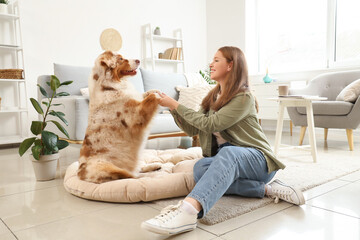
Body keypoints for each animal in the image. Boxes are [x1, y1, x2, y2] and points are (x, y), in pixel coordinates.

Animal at [78, 51, 160, 184]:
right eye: (121, 59)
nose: (138, 60)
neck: (109, 86)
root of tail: (80, 174)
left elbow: (145, 94)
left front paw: (156, 90)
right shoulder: (136, 114)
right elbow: (151, 98)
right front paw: (157, 95)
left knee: (137, 169)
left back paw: (154, 166)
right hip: (106, 167)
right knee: (131, 175)